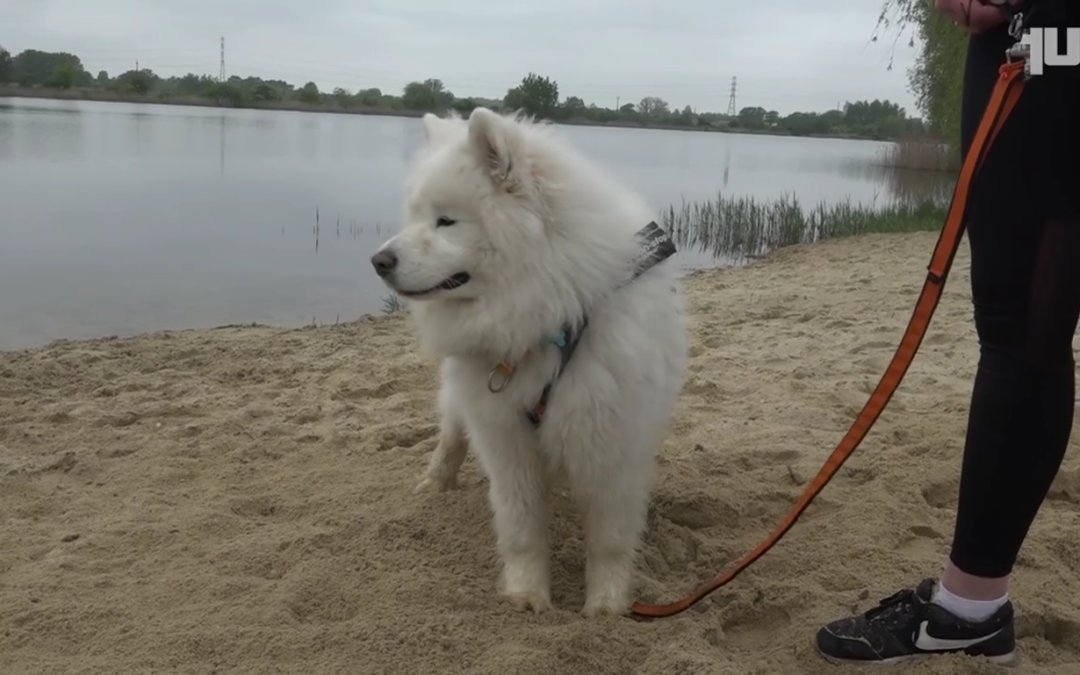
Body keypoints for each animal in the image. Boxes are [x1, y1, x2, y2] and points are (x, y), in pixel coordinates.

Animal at [371, 106, 686, 617]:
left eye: (446, 221)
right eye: (415, 215)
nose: (378, 260)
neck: (549, 321)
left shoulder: (613, 444)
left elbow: (610, 539)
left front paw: (606, 606)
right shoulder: (505, 438)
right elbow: (521, 527)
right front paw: (526, 595)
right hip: (463, 406)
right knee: (450, 437)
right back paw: (435, 484)